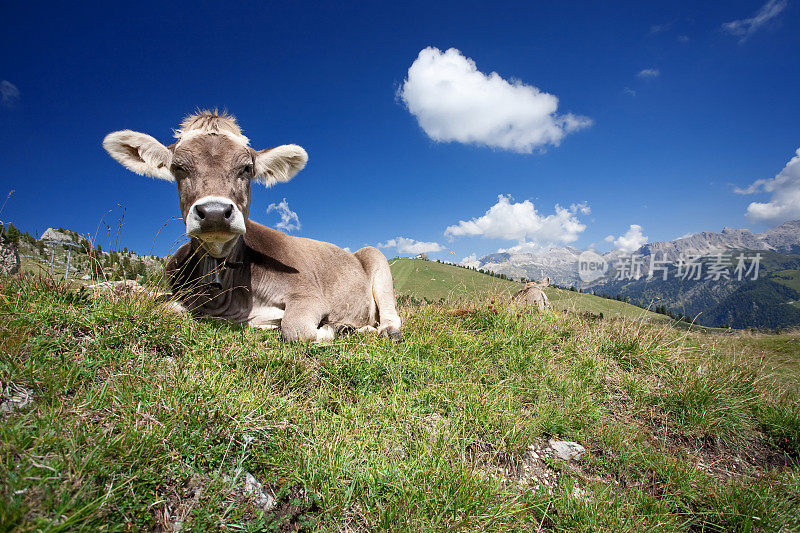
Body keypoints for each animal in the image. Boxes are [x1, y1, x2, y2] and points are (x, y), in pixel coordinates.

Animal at [101, 109, 400, 340]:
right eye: (179, 168)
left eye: (246, 168)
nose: (214, 212)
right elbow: (160, 303)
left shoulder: (308, 294)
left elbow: (295, 329)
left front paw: (334, 328)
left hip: (376, 256)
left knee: (389, 319)